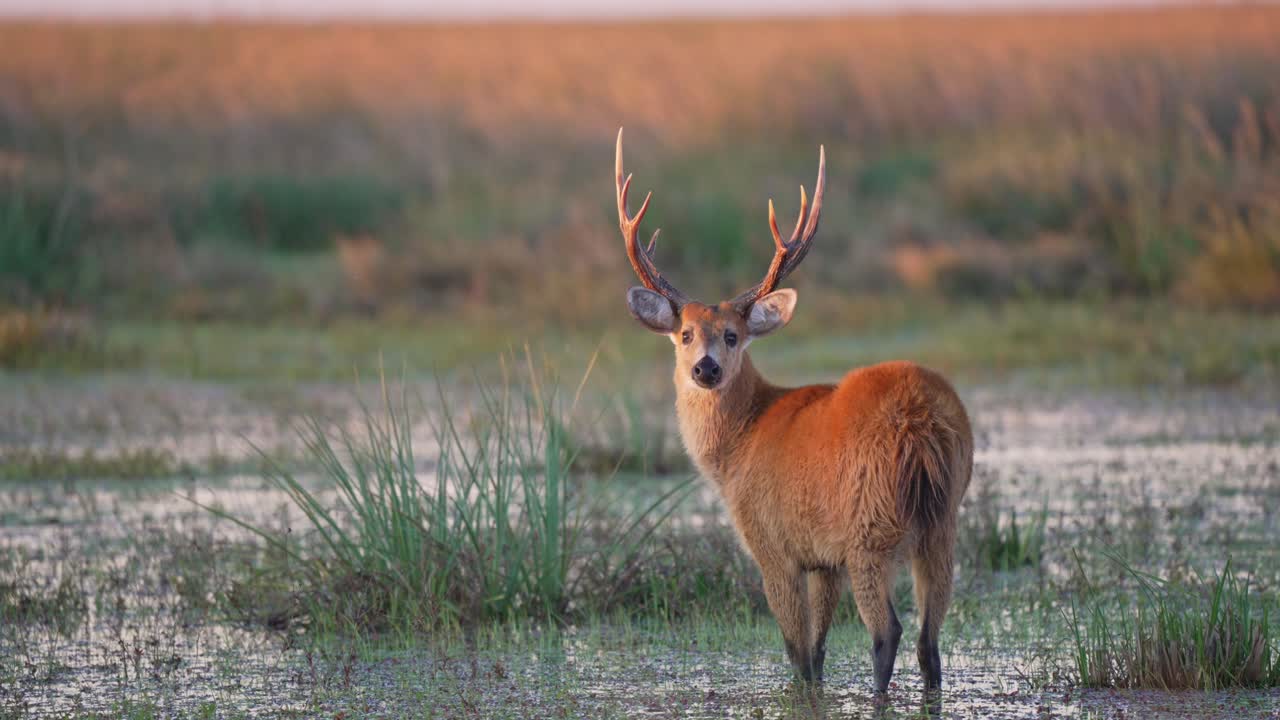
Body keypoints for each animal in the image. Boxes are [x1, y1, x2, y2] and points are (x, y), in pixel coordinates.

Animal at [614, 129, 973, 694]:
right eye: (686, 333)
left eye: (733, 335)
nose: (705, 369)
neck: (739, 445)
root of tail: (919, 420)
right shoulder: (822, 557)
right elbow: (820, 651)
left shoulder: (772, 543)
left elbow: (798, 653)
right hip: (942, 520)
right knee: (930, 640)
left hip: (869, 525)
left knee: (887, 633)